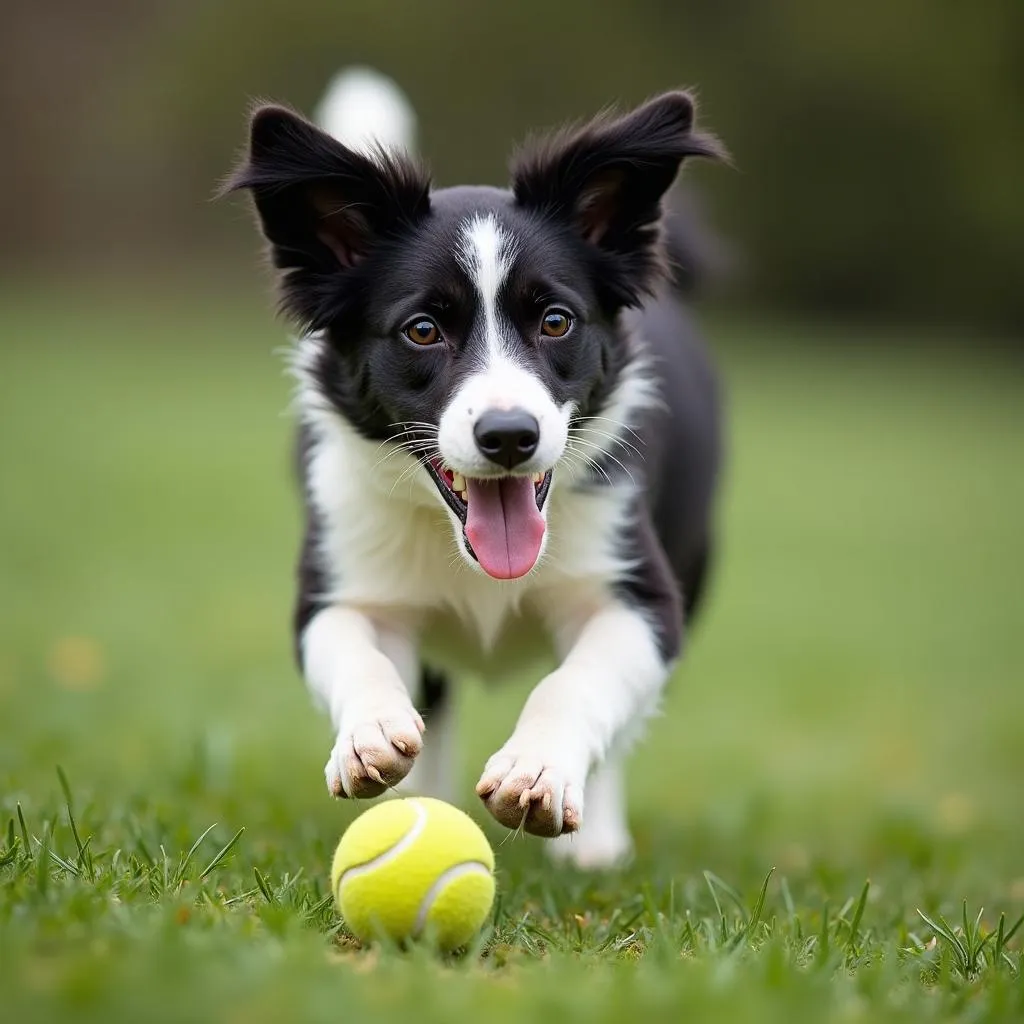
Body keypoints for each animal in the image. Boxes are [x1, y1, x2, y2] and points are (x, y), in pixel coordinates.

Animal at [224, 75, 724, 868]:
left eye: (556, 321)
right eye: (423, 330)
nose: (510, 435)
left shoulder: (640, 592)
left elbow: (578, 682)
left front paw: (537, 771)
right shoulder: (340, 572)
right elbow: (356, 651)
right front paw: (370, 739)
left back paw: (596, 842)